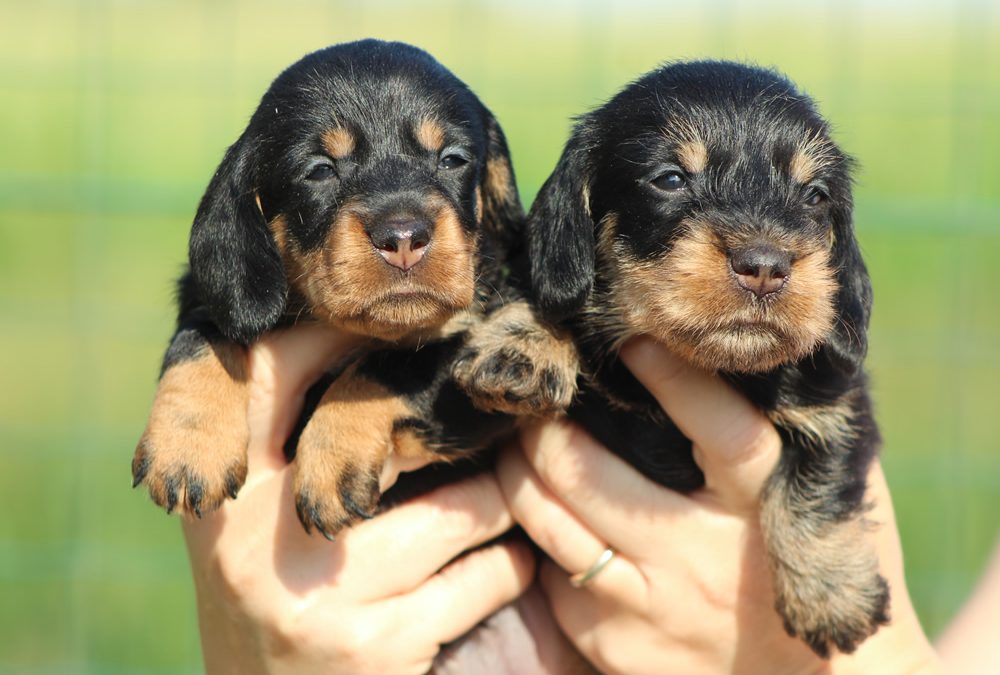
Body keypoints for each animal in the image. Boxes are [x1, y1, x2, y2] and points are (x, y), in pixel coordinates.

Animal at [131, 41, 524, 540]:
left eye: (452, 158)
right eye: (320, 170)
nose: (403, 238)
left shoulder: (479, 394)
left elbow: (390, 364)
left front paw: (331, 460)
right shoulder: (211, 296)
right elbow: (203, 333)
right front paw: (188, 445)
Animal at [458, 60, 888, 656]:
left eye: (815, 194)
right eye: (670, 179)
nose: (765, 266)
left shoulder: (836, 400)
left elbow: (818, 481)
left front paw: (830, 595)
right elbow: (540, 292)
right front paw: (522, 346)